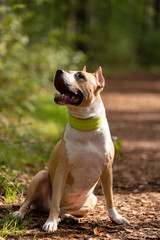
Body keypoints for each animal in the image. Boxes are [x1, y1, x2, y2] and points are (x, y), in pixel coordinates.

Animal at [12, 66, 129, 232]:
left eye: (80, 76)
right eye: (69, 71)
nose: (58, 71)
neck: (85, 125)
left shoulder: (107, 170)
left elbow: (110, 198)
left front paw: (116, 218)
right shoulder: (62, 170)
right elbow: (55, 201)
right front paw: (50, 222)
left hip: (92, 200)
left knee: (64, 210)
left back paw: (67, 217)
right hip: (41, 176)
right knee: (30, 202)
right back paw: (22, 214)